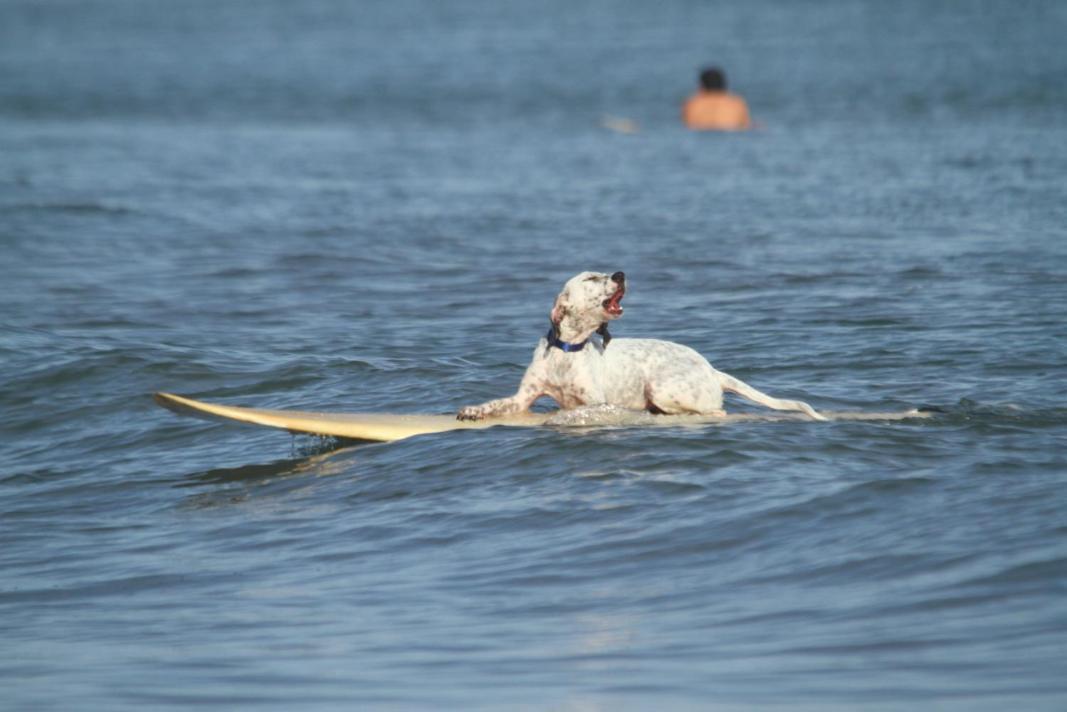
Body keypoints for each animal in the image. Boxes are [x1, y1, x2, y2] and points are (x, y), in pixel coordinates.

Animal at [456, 270, 823, 420]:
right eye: (591, 278)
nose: (620, 274)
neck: (567, 351)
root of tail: (711, 369)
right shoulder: (523, 398)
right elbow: (495, 404)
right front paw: (472, 410)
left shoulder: (597, 401)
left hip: (660, 386)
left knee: (715, 410)